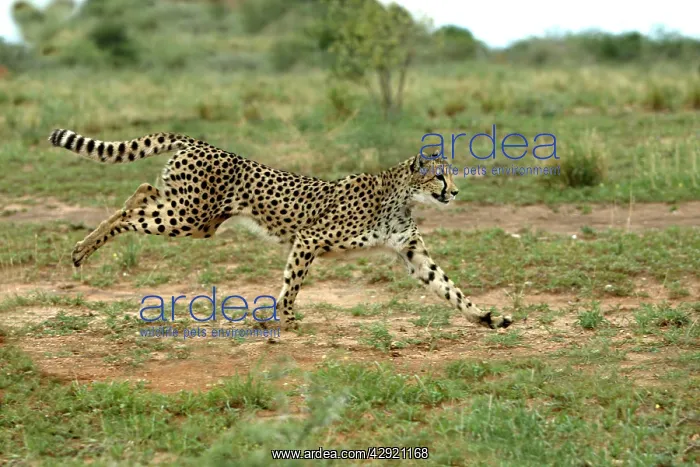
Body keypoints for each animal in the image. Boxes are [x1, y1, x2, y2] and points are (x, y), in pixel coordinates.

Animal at [48, 129, 513, 331]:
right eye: (439, 177)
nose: (455, 191)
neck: (401, 195)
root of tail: (201, 142)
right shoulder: (309, 238)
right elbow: (292, 282)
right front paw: (285, 317)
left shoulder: (412, 253)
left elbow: (449, 288)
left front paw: (486, 317)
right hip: (189, 216)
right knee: (131, 211)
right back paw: (81, 249)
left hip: (196, 219)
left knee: (142, 191)